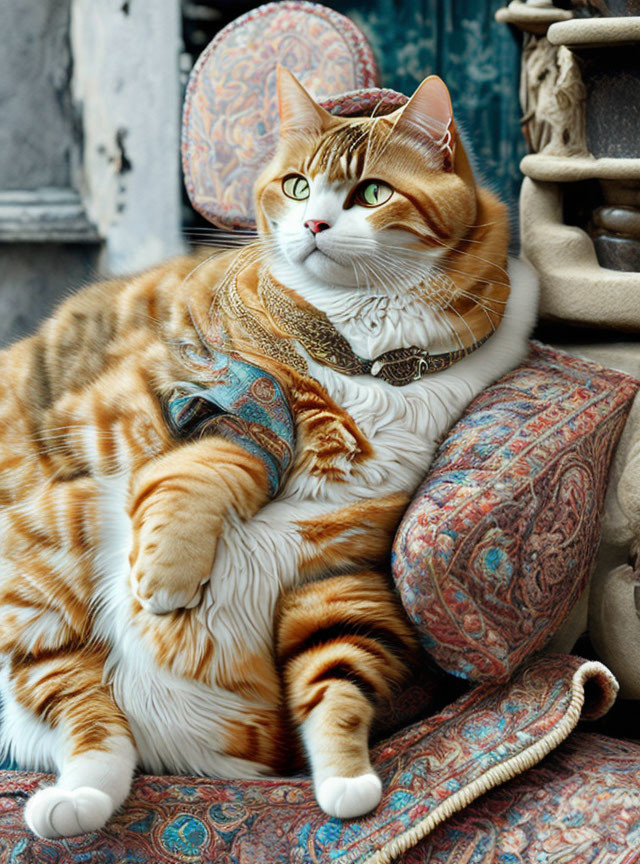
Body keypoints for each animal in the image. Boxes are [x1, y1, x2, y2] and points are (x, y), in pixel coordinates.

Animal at [0, 69, 536, 836]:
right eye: (297, 186)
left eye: (373, 193)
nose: (313, 225)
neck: (367, 360)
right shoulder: (188, 389)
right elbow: (229, 456)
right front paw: (168, 575)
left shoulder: (339, 573)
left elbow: (335, 674)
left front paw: (348, 782)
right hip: (46, 579)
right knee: (85, 712)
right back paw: (75, 797)